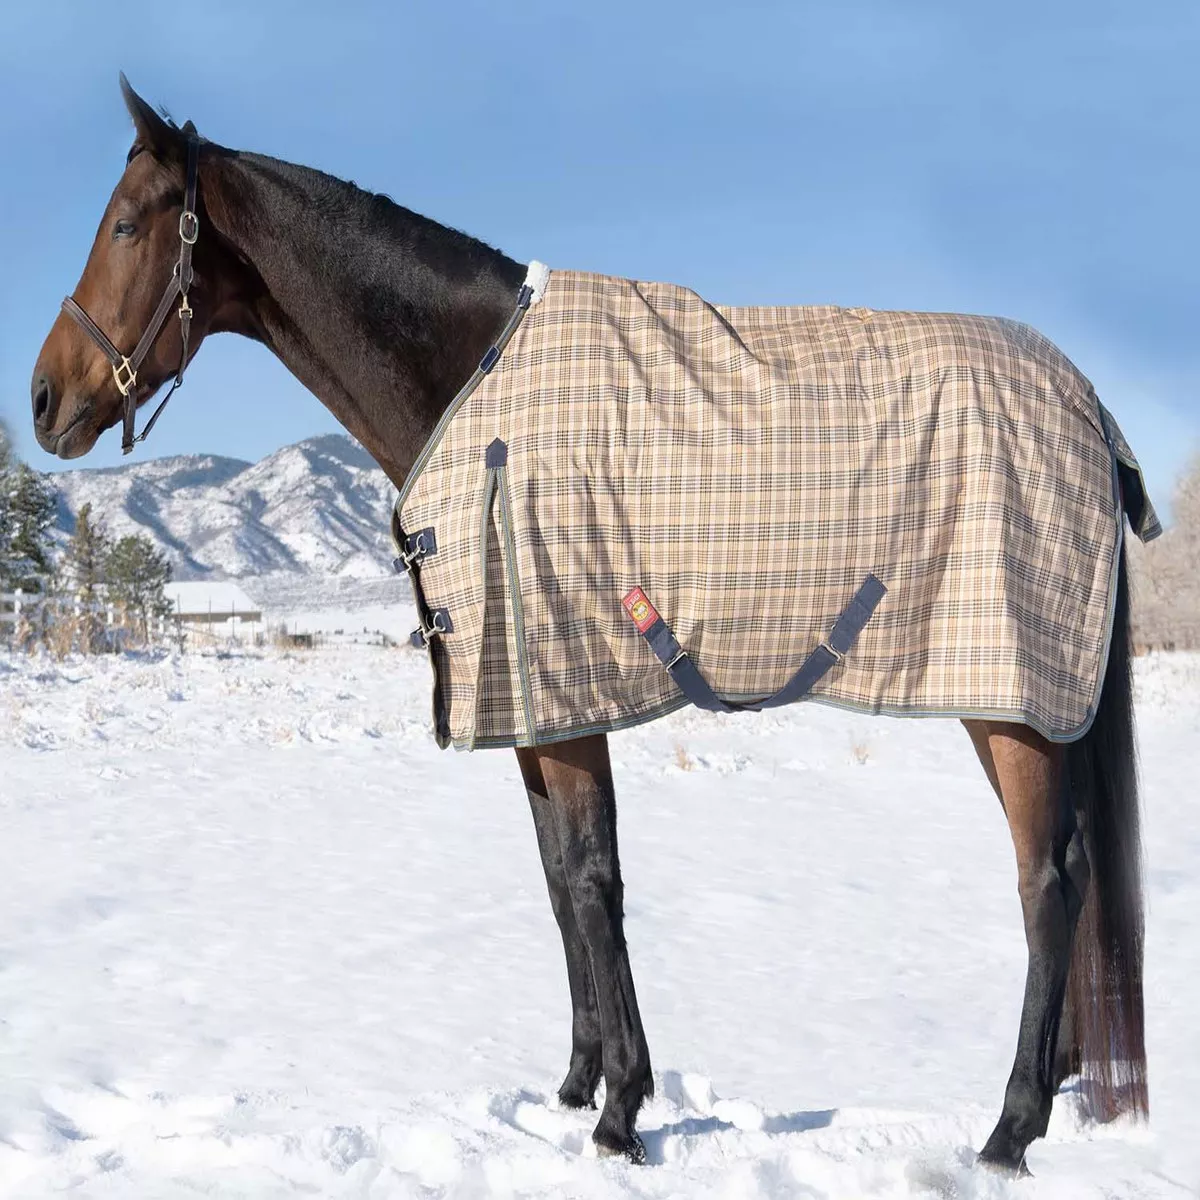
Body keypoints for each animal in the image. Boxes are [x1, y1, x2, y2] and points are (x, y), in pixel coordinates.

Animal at [30, 76, 1150, 1173]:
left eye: (126, 225)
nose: (43, 400)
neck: (473, 381)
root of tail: (1090, 409)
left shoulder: (570, 701)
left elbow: (592, 880)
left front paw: (622, 1114)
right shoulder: (528, 708)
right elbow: (557, 884)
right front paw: (575, 1087)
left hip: (1008, 703)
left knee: (1047, 886)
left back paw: (1009, 1129)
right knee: (1077, 875)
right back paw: (1054, 1090)